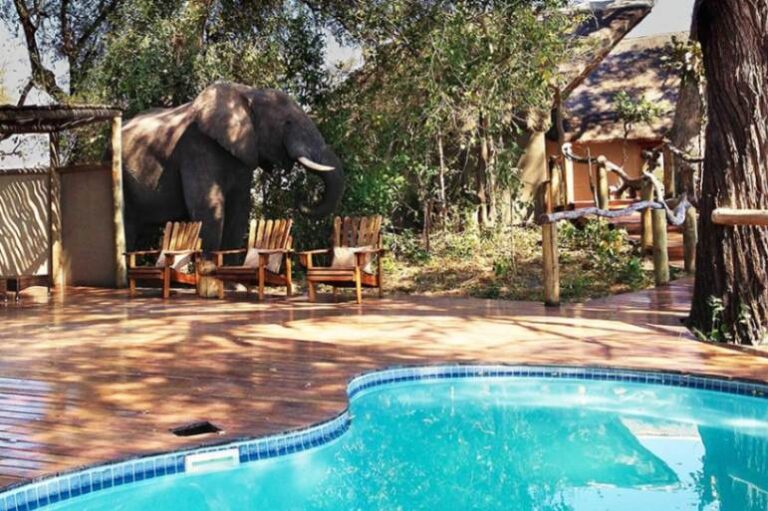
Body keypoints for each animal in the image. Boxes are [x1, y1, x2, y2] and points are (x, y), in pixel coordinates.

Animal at [121, 82, 344, 251]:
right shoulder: (196, 147)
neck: (248, 92)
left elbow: (239, 210)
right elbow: (208, 208)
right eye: (288, 123)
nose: (300, 199)